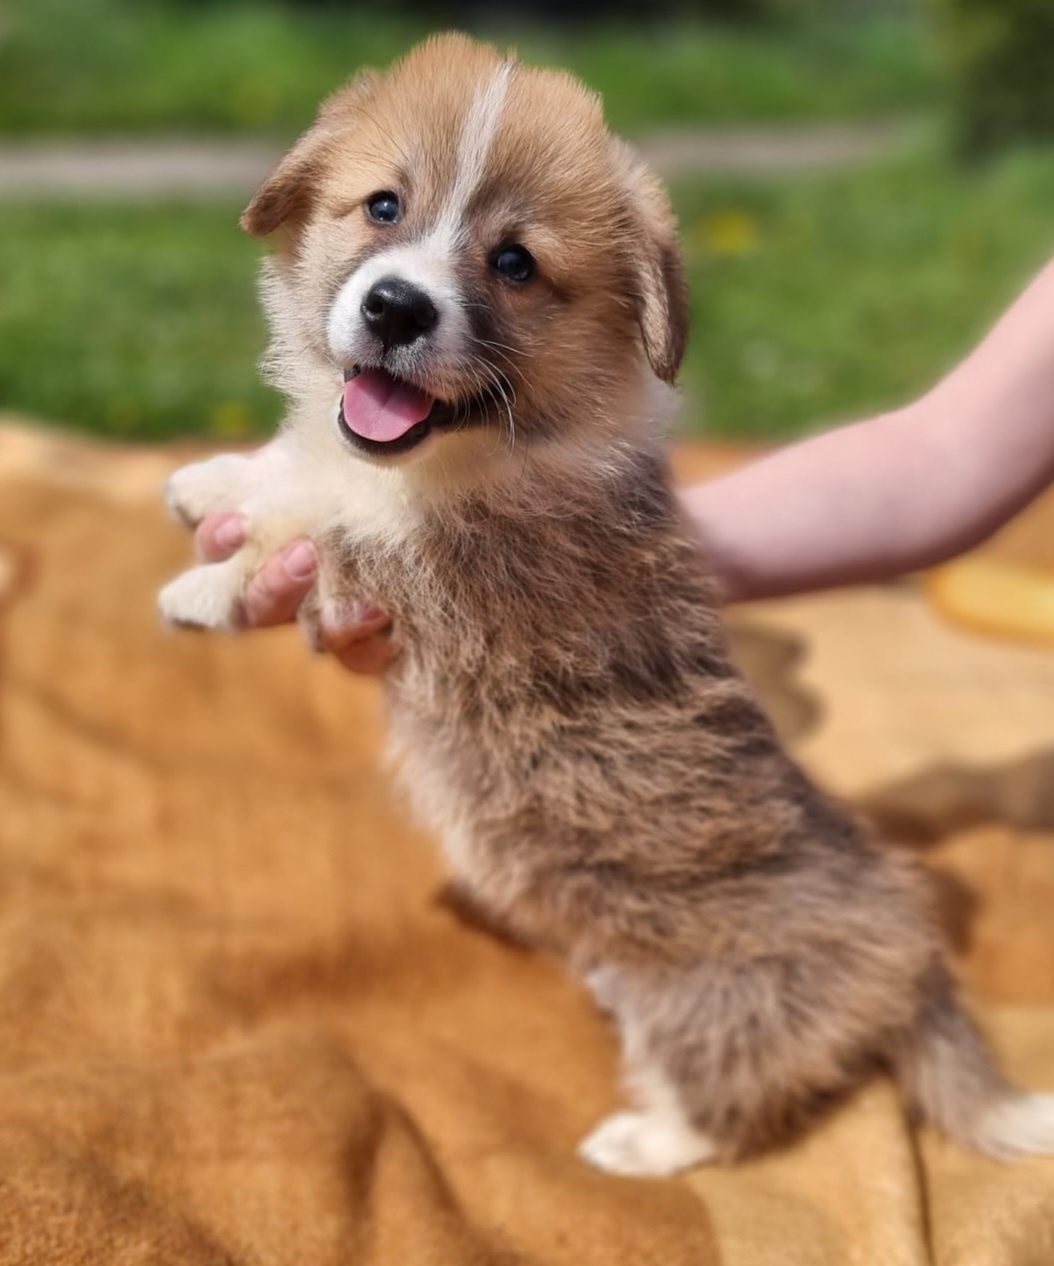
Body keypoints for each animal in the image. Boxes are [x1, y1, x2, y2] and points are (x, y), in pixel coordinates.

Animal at [158, 32, 1052, 1174]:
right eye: (382, 207)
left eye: (515, 263)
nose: (395, 306)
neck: (470, 455)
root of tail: (913, 964)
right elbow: (305, 469)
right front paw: (214, 482)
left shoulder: (465, 570)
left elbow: (334, 529)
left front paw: (211, 582)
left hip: (704, 1000)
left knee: (739, 1101)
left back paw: (643, 1142)